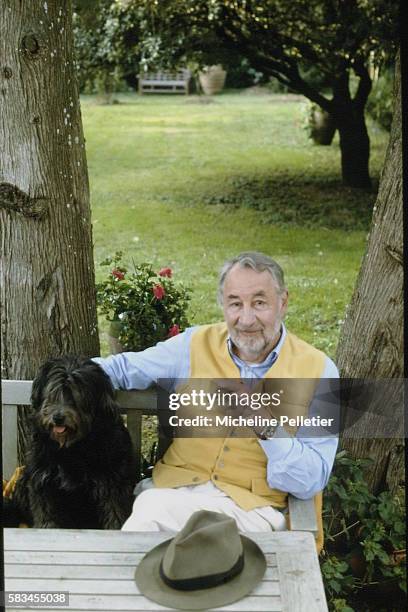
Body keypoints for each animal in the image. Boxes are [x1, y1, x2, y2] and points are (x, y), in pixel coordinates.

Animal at [3, 356, 138, 528]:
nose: (58, 418)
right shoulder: (42, 478)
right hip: (24, 478)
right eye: (52, 393)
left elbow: (115, 509)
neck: (73, 447)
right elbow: (45, 512)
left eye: (76, 396)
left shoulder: (113, 479)